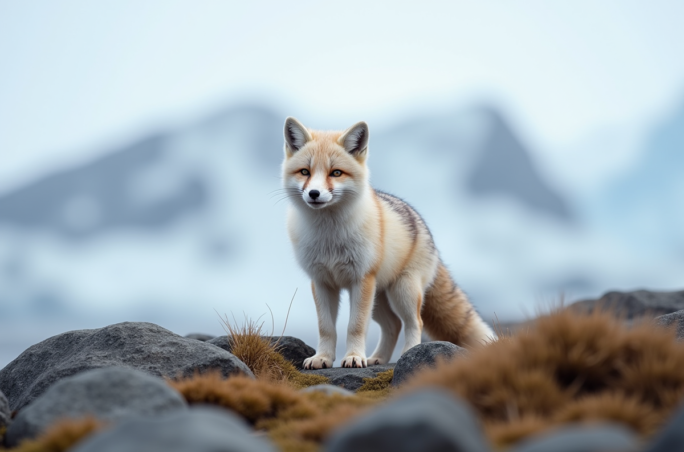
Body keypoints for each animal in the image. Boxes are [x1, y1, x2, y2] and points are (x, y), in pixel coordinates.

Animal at [281, 117, 496, 369]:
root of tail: (421, 224)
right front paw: (323, 358)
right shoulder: (322, 282)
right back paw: (378, 358)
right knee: (393, 324)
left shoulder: (361, 280)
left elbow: (355, 326)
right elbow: (326, 328)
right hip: (379, 300)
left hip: (402, 292)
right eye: (305, 172)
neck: (330, 237)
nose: (314, 193)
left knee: (414, 322)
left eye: (336, 173)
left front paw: (353, 357)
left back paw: (409, 353)